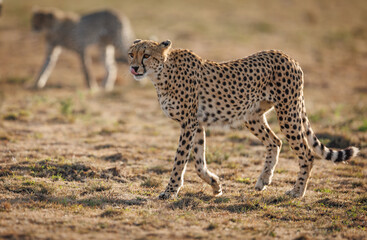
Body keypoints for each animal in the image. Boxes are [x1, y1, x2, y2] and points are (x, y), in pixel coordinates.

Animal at [127, 40, 360, 200]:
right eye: (131, 54)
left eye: (146, 55)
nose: (134, 68)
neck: (162, 74)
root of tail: (287, 56)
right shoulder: (197, 124)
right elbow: (199, 162)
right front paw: (215, 185)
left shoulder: (188, 124)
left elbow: (179, 160)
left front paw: (170, 191)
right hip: (252, 116)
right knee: (275, 141)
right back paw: (263, 180)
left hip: (288, 112)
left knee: (307, 153)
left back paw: (296, 192)